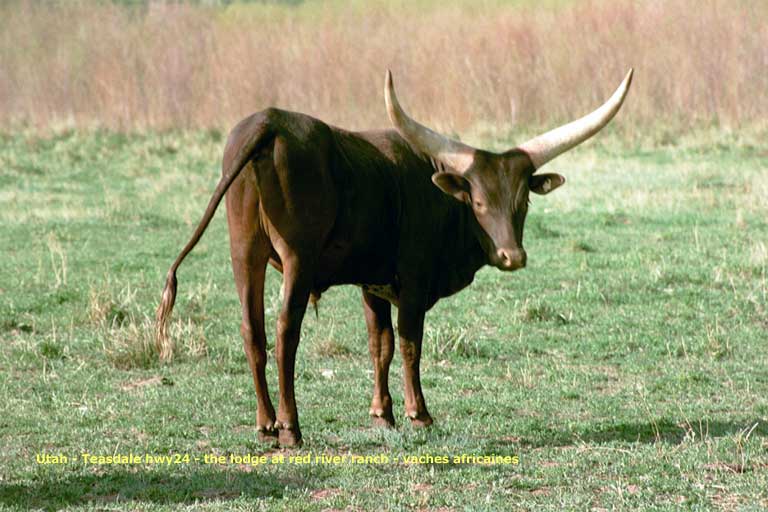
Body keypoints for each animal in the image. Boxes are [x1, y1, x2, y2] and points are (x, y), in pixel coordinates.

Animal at [154, 68, 632, 444]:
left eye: (524, 201)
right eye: (477, 202)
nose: (511, 255)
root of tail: (267, 122)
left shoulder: (374, 284)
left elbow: (378, 344)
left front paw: (382, 414)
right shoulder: (414, 281)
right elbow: (409, 344)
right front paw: (419, 414)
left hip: (244, 253)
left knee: (251, 330)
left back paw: (266, 424)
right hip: (297, 259)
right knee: (286, 330)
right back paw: (291, 428)